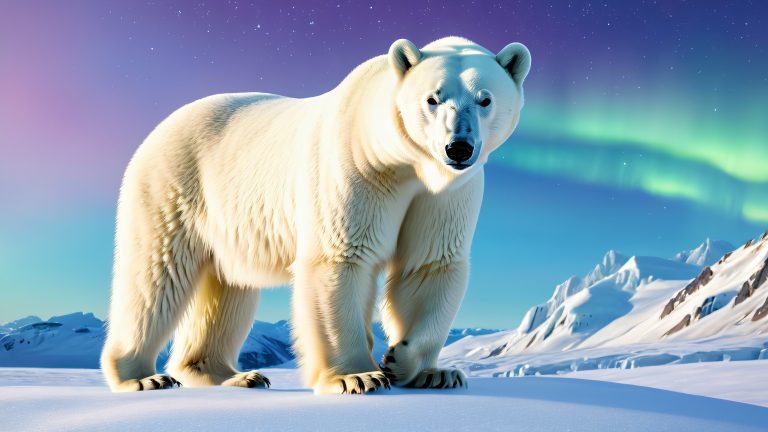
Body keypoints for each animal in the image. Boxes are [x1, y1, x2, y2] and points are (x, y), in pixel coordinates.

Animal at [101, 36, 531, 394]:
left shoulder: (446, 194)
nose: (458, 147)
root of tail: (160, 128)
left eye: (485, 99)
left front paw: (422, 367)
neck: (403, 161)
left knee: (227, 288)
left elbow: (430, 265)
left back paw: (232, 374)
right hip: (174, 187)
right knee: (155, 276)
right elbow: (341, 258)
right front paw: (358, 375)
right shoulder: (355, 168)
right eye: (433, 98)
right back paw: (143, 377)